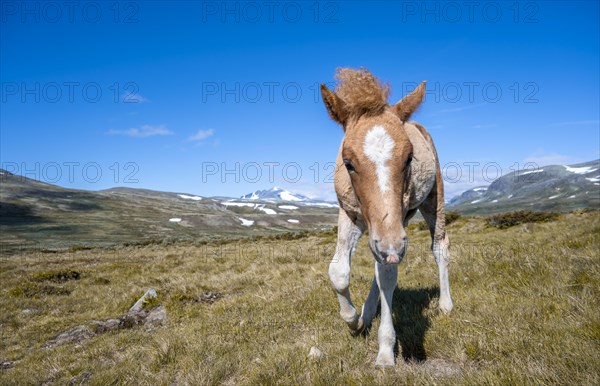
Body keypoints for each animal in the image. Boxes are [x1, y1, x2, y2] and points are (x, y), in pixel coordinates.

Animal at [322, 68, 452, 366]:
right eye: (348, 163)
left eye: (409, 158)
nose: (391, 248)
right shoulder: (351, 215)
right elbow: (339, 272)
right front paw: (355, 320)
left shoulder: (394, 230)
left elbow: (388, 276)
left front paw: (384, 352)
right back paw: (368, 310)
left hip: (431, 201)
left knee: (439, 246)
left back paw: (445, 304)